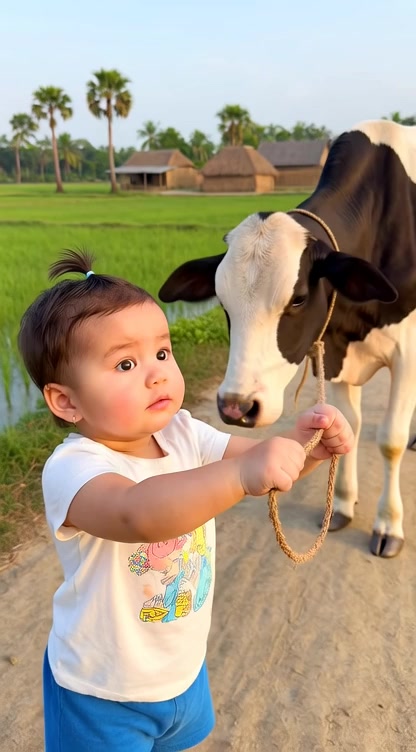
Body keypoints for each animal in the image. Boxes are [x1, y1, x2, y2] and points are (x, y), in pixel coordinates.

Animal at [158, 119, 416, 559]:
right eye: (222, 302)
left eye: (297, 298)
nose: (236, 406)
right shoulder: (336, 348)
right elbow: (349, 425)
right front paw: (343, 504)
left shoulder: (406, 353)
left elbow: (390, 441)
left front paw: (388, 525)